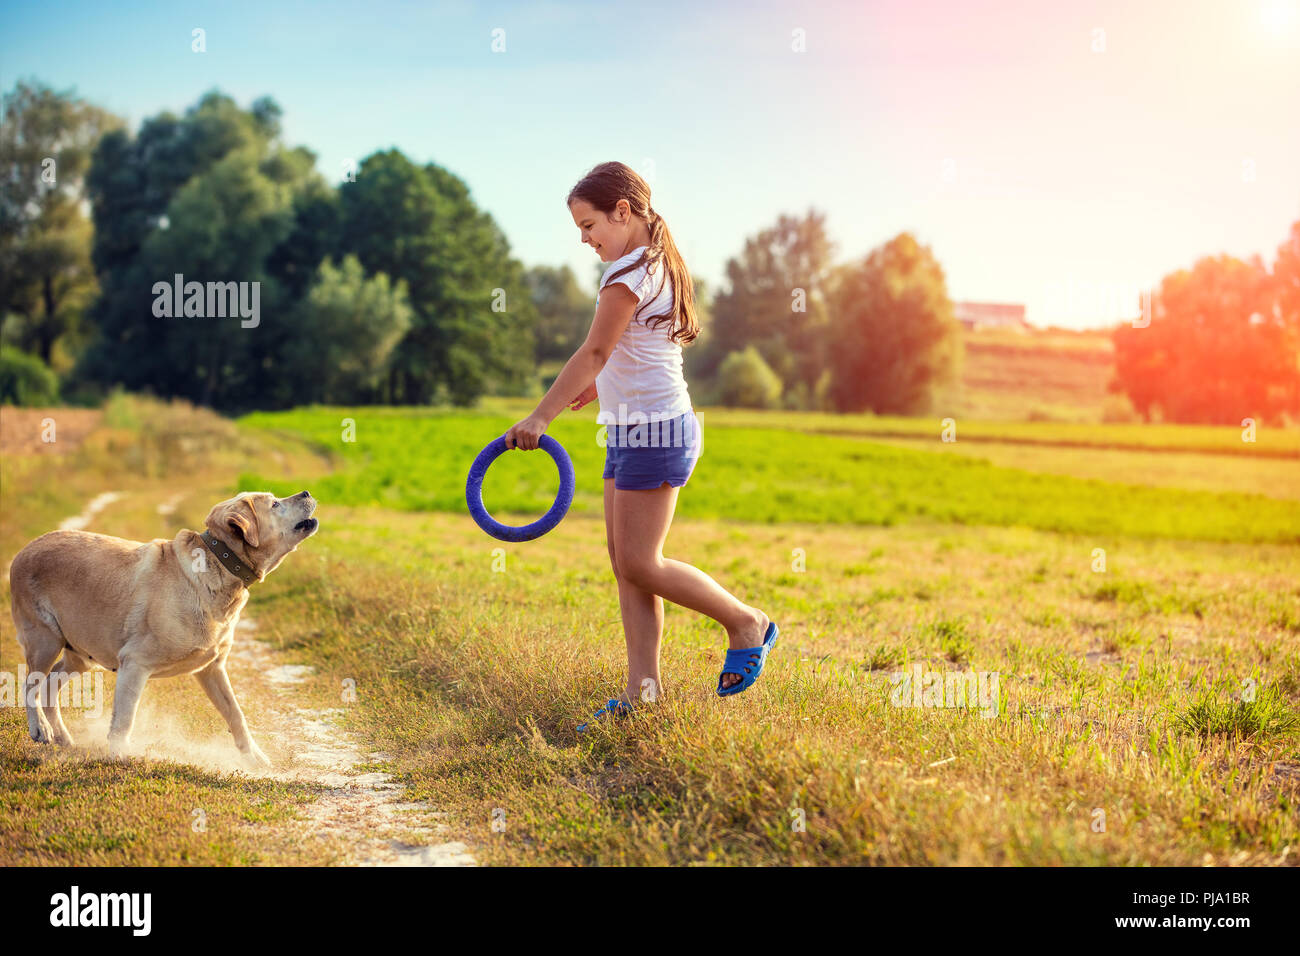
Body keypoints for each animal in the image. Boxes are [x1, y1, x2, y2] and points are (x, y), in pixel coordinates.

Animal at [8, 489, 318, 764]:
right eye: (275, 503)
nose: (305, 492)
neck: (219, 563)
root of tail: (24, 549)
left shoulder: (212, 669)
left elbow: (235, 713)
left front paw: (253, 756)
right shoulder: (134, 663)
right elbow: (124, 718)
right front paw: (118, 755)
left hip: (81, 654)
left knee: (50, 684)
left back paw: (62, 736)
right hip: (45, 640)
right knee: (30, 682)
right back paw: (41, 729)